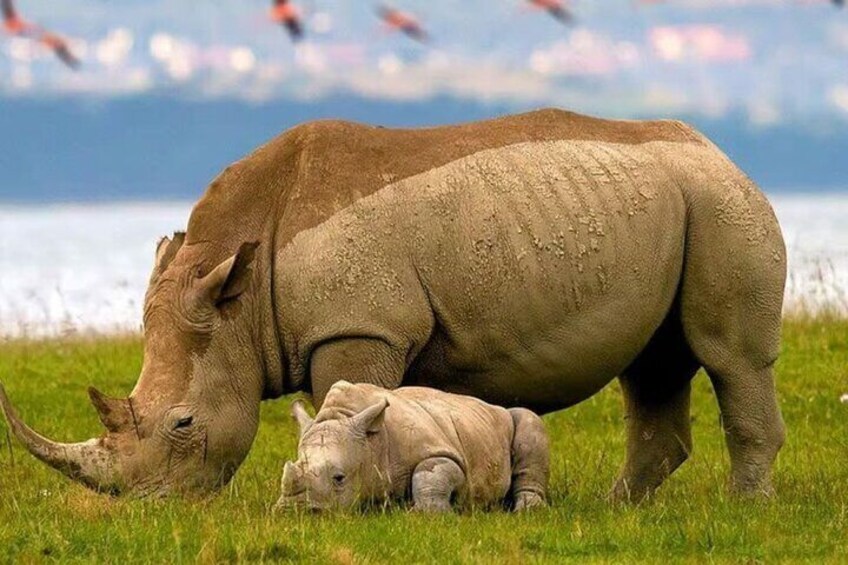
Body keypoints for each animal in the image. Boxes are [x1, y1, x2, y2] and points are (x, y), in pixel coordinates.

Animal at [276, 381, 549, 512]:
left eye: (339, 478)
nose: (294, 511)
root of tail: (491, 405)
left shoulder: (443, 452)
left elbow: (430, 472)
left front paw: (424, 514)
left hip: (506, 420)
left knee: (528, 419)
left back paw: (527, 511)